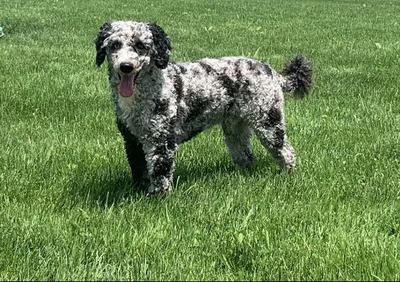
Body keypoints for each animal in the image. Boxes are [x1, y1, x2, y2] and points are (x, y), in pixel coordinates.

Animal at [94, 20, 312, 194]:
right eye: (114, 45)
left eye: (140, 45)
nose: (126, 66)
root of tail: (273, 73)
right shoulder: (132, 138)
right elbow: (139, 169)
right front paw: (138, 191)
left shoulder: (162, 140)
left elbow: (160, 173)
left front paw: (156, 197)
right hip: (235, 127)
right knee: (246, 155)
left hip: (268, 121)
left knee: (286, 151)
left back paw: (287, 173)